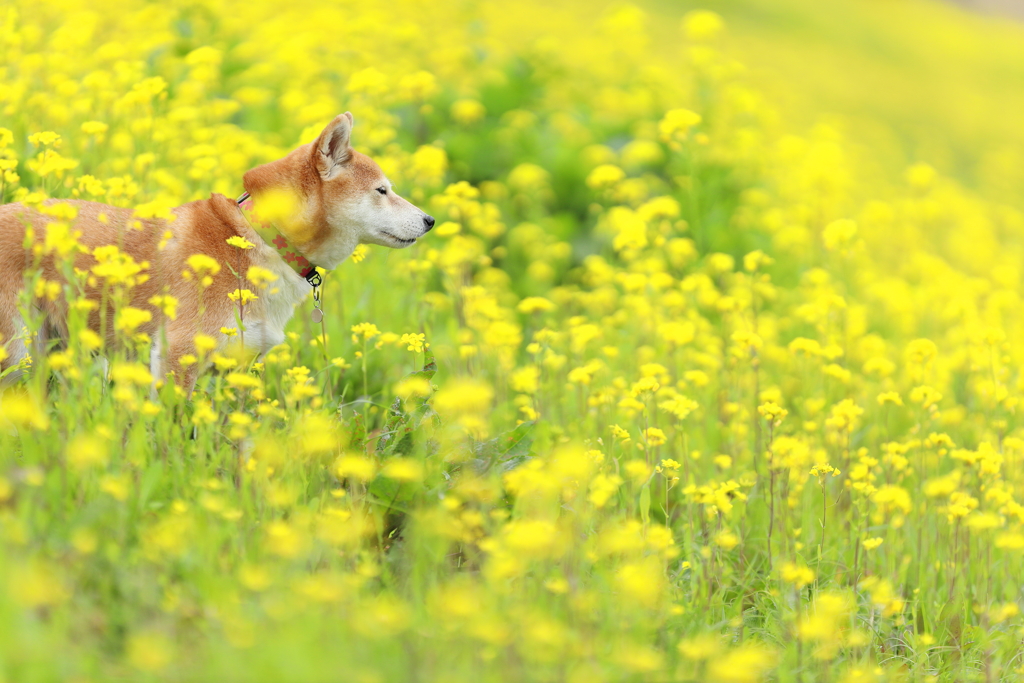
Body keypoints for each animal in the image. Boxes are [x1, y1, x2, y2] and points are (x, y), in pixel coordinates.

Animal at [0, 111, 434, 389]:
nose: (430, 220)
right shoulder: (176, 357)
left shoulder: (237, 367)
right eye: (382, 190)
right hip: (17, 354)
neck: (261, 240)